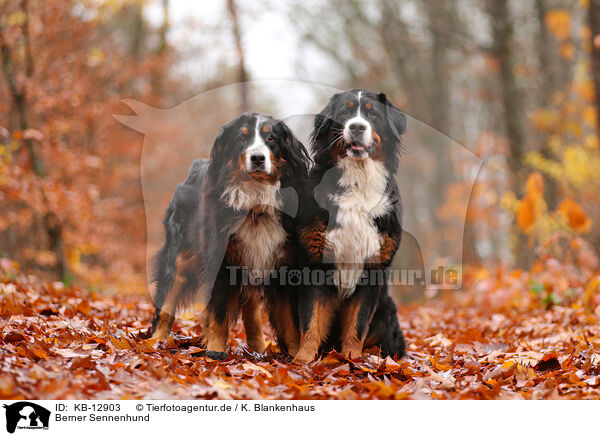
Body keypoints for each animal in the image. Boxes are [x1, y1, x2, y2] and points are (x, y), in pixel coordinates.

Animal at [149, 111, 310, 358]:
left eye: (271, 138)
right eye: (242, 139)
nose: (257, 158)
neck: (256, 206)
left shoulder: (283, 265)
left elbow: (289, 321)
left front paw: (294, 357)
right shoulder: (221, 263)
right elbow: (219, 314)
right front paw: (215, 352)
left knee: (252, 314)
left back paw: (258, 349)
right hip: (179, 257)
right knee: (167, 301)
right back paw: (155, 342)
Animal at [294, 89, 408, 364]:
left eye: (372, 114)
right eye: (345, 113)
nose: (357, 127)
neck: (358, 180)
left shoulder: (372, 268)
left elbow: (358, 322)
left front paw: (352, 358)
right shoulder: (316, 263)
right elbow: (311, 320)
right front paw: (302, 360)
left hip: (387, 313)